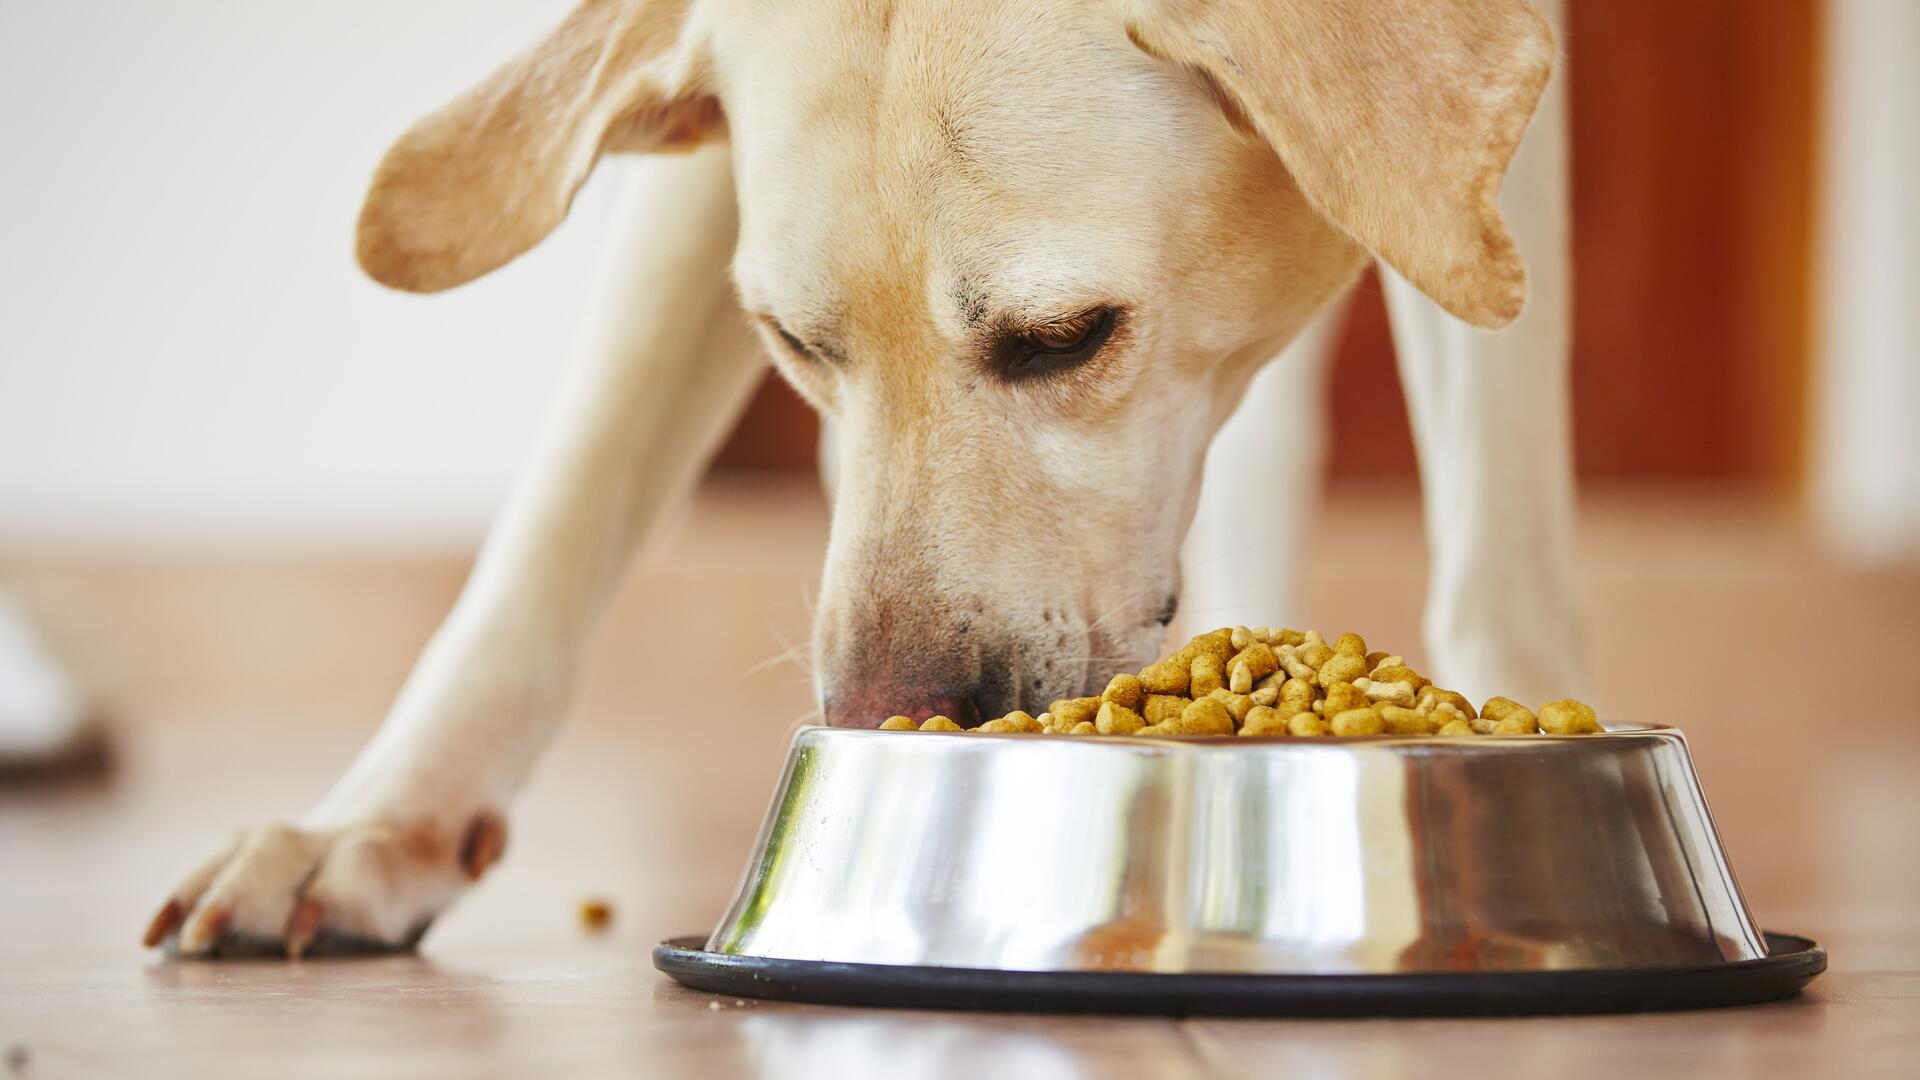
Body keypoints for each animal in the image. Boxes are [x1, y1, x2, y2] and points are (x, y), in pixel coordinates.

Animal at [139, 0, 1574, 957]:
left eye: (1066, 337)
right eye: (793, 342)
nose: (883, 716)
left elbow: (1499, 514)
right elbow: (572, 495)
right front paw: (381, 822)